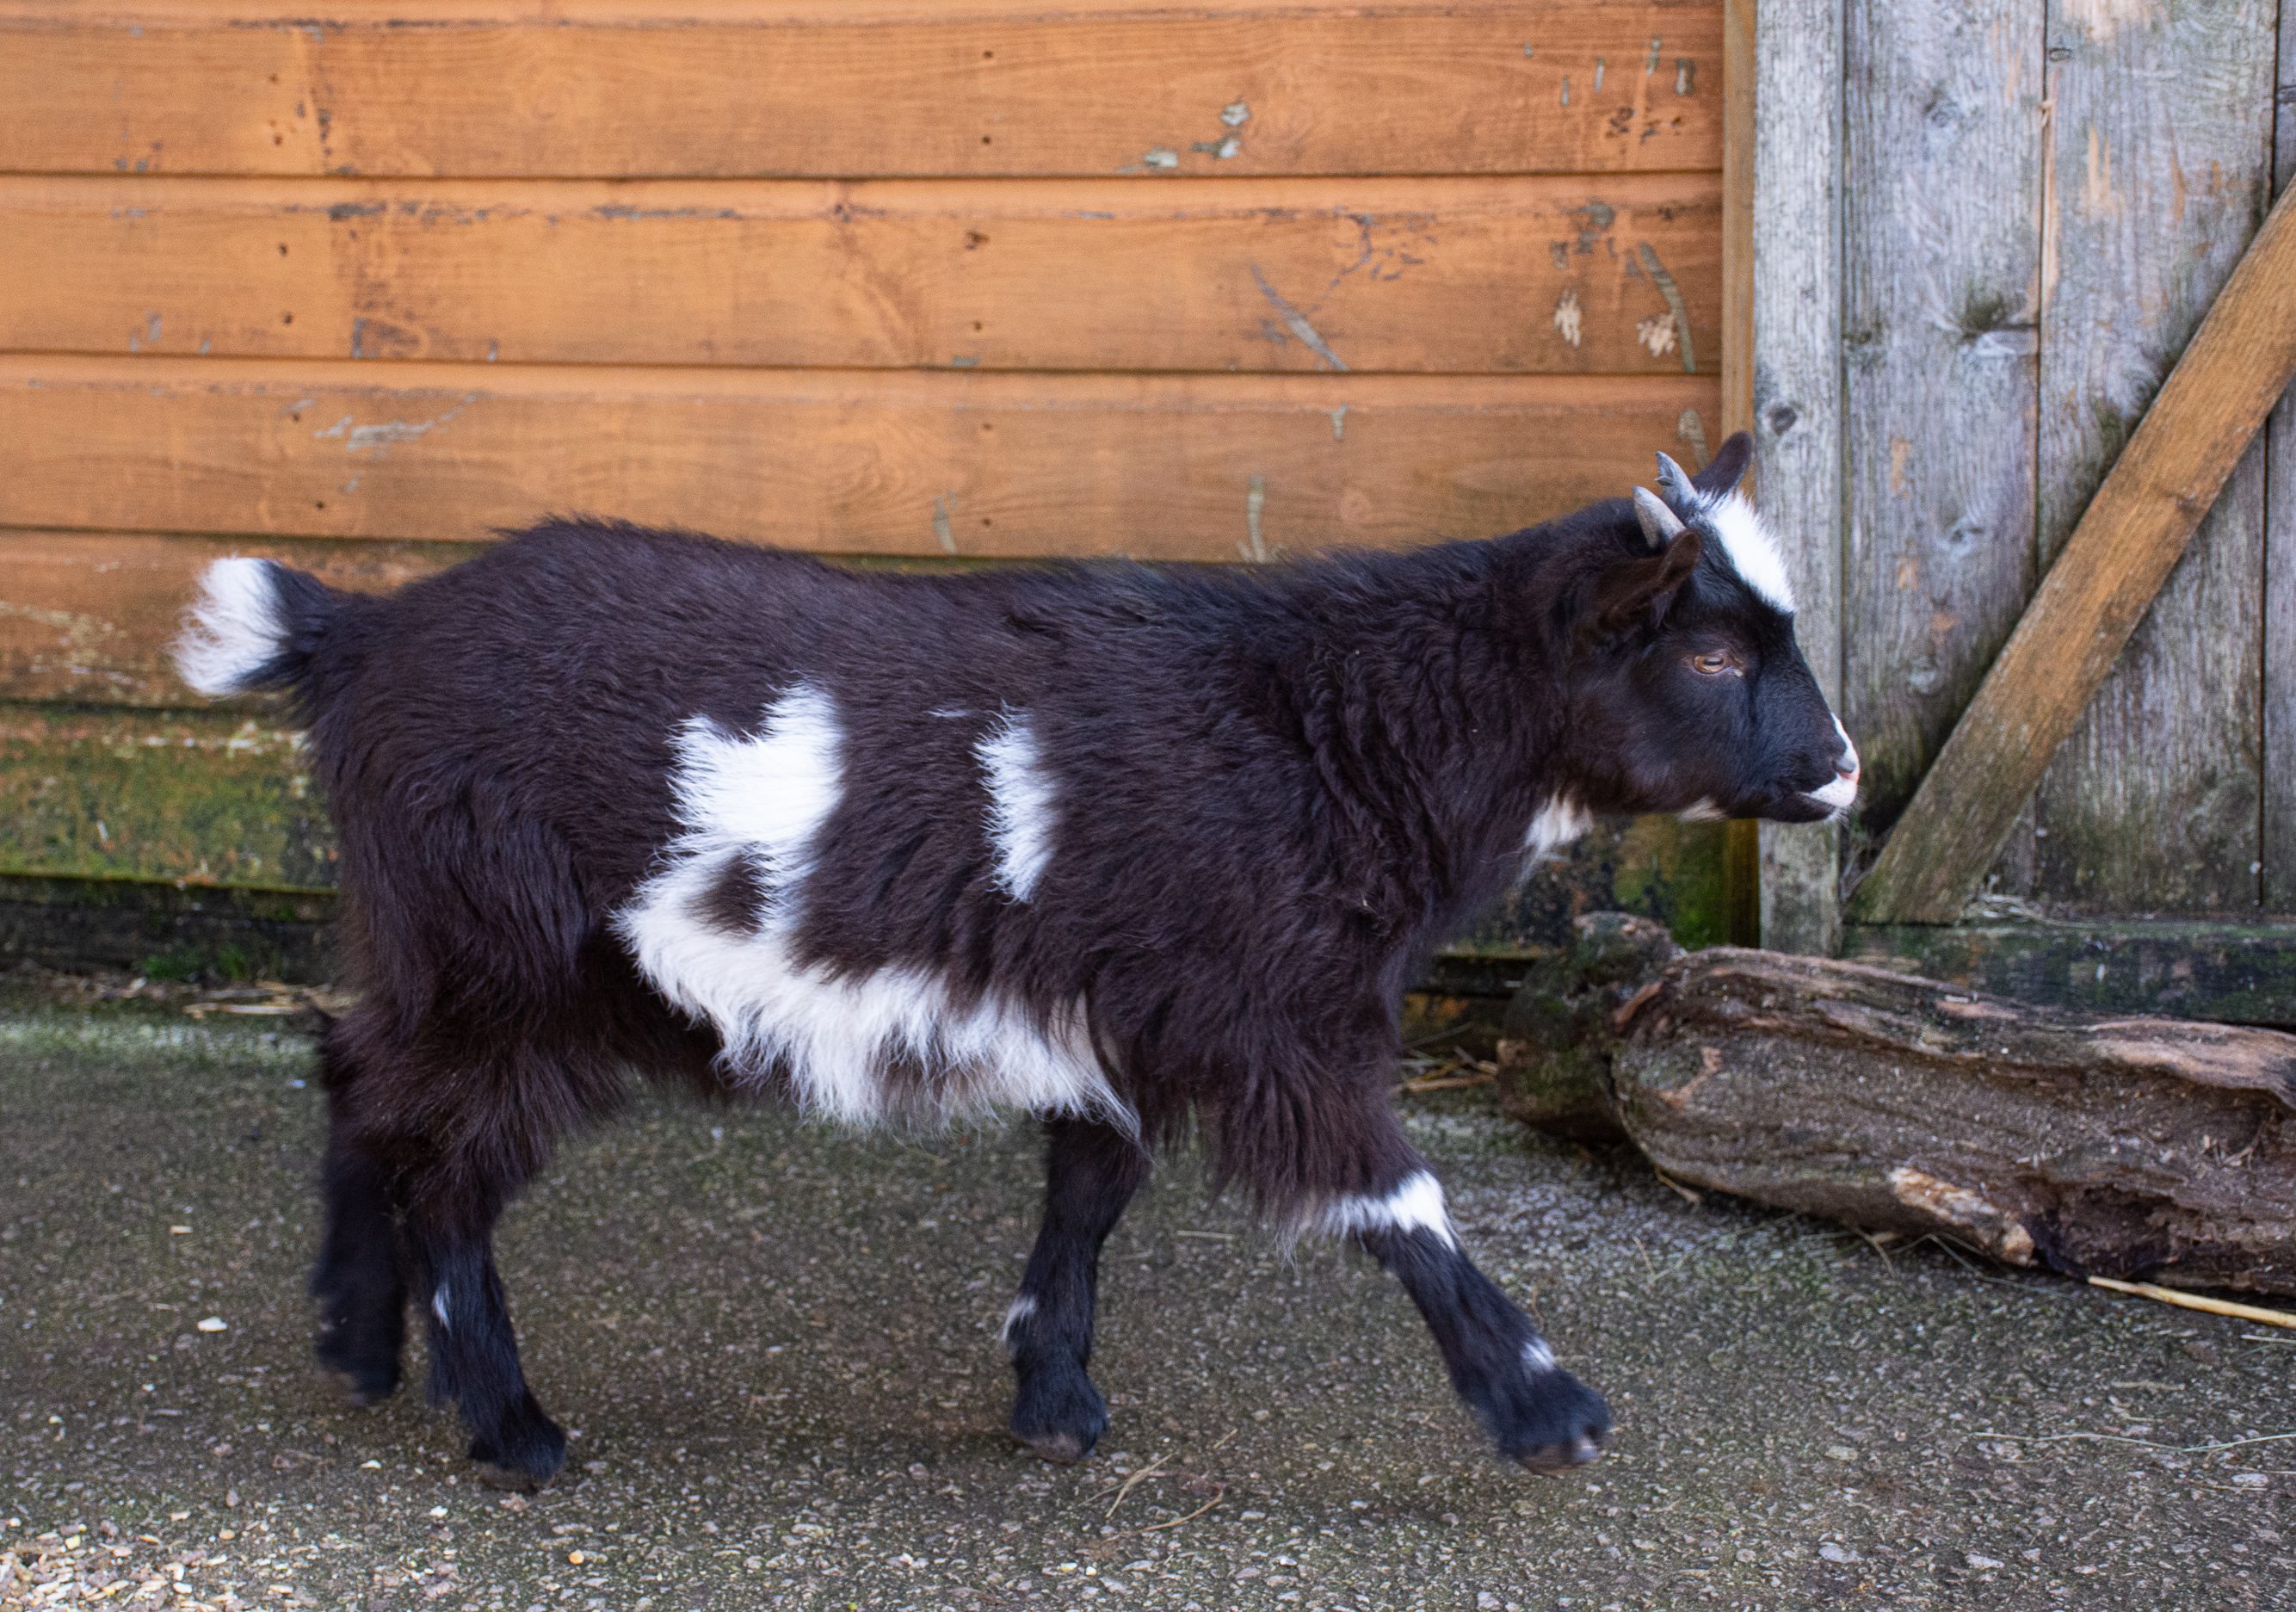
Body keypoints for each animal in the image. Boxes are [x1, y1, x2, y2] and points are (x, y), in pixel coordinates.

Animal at [172, 432, 1858, 1490]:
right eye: (1709, 648)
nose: (1839, 769)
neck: (1327, 726)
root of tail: (357, 639)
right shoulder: (1271, 1016)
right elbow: (1396, 1198)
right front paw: (1546, 1408)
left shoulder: (1125, 1000)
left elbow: (1090, 1185)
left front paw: (1050, 1397)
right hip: (511, 963)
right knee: (445, 1166)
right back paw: (510, 1429)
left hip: (439, 951)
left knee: (357, 1069)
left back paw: (355, 1341)